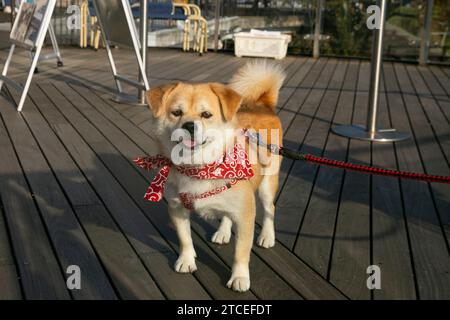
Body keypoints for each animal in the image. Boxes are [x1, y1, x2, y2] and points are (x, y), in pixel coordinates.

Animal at [144, 60, 284, 292]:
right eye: (176, 112)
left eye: (206, 115)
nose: (189, 125)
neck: (197, 168)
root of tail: (263, 104)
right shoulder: (177, 208)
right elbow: (185, 239)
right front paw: (186, 260)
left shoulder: (246, 217)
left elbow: (241, 253)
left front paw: (239, 277)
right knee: (227, 214)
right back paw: (223, 232)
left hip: (267, 185)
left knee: (270, 210)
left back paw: (266, 236)